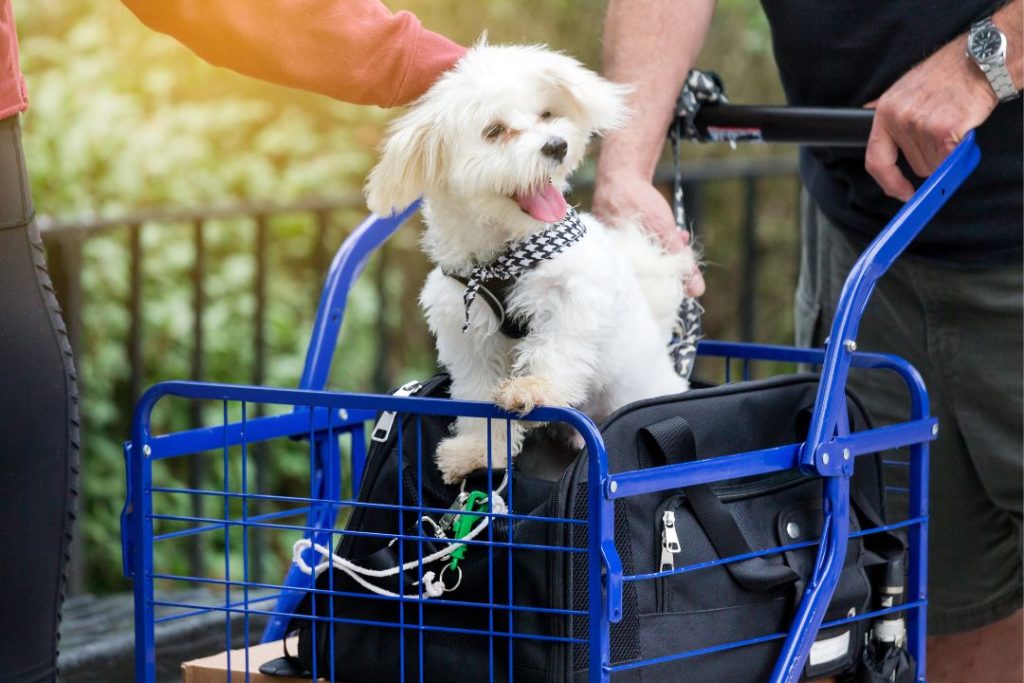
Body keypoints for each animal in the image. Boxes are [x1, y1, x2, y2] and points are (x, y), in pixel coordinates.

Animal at [364, 42, 700, 485]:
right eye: (493, 131)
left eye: (546, 115)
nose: (557, 145)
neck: (501, 257)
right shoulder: (465, 331)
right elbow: (476, 398)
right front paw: (478, 451)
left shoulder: (576, 295)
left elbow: (556, 347)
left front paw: (533, 389)